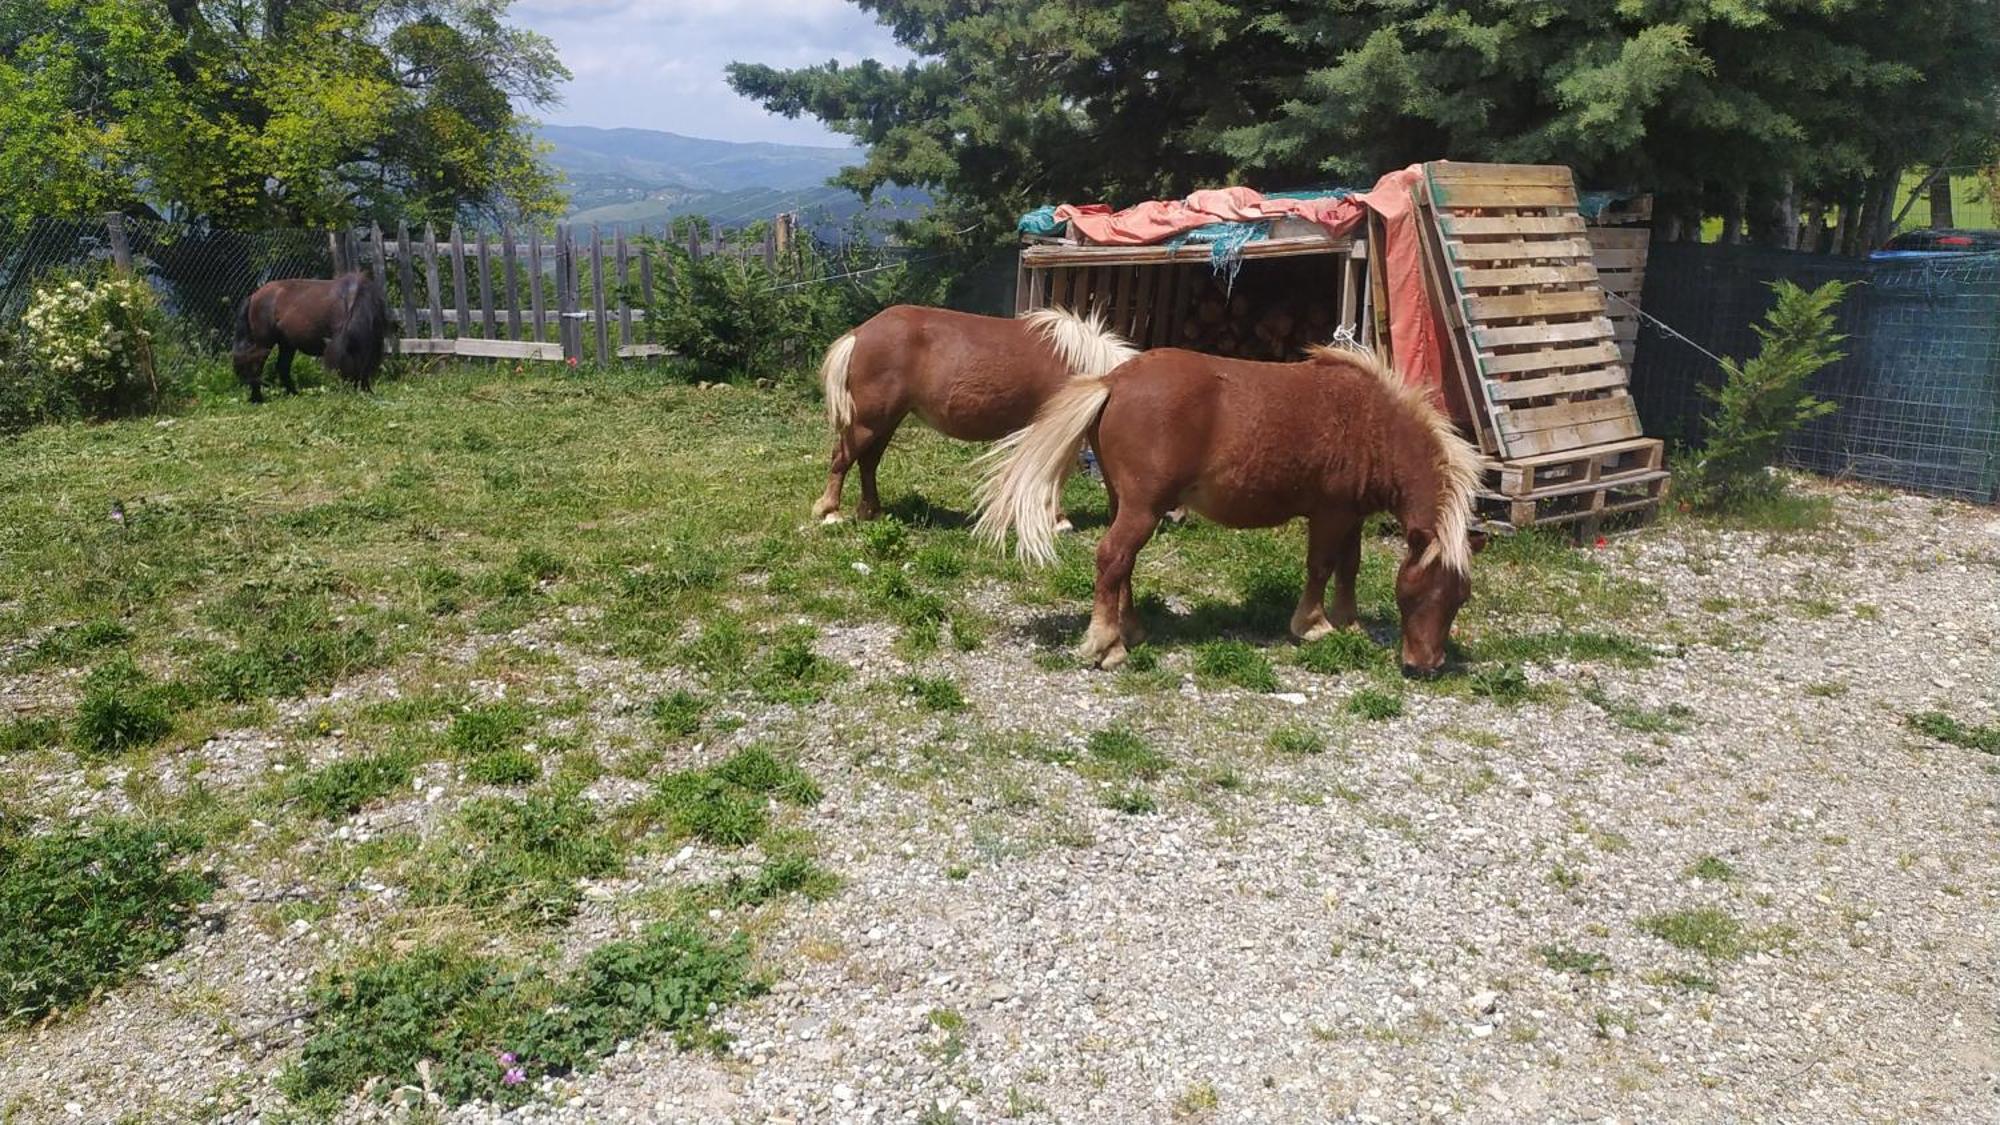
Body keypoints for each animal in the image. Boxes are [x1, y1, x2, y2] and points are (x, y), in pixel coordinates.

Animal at [232, 270, 388, 400]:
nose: (348, 391)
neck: (352, 299)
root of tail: (254, 295)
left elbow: (366, 366)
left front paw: (368, 391)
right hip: (264, 342)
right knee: (256, 365)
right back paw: (257, 398)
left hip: (286, 344)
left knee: (282, 367)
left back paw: (293, 393)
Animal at [804, 302, 1136, 520]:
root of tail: (859, 334)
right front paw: (1057, 519)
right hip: (869, 420)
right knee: (843, 457)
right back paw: (828, 510)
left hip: (887, 420)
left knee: (868, 462)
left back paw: (870, 510)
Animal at [976, 342, 1496, 672]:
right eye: (1419, 592)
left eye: (1460, 597)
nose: (1425, 665)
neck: (1372, 424)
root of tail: (1114, 381)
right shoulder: (1330, 515)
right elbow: (1321, 567)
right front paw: (1313, 625)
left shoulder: (1352, 517)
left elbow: (1349, 567)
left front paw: (1349, 624)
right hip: (1144, 508)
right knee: (1112, 558)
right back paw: (1108, 645)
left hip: (1125, 504)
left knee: (1122, 566)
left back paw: (1131, 629)